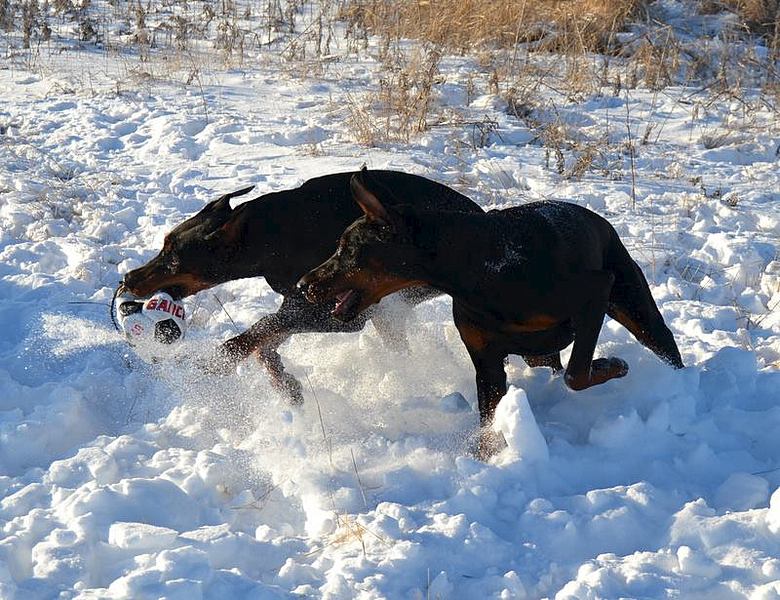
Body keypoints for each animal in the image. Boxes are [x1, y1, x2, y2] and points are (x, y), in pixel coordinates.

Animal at [120, 171, 482, 400]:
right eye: (164, 244)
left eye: (172, 258)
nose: (128, 278)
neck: (269, 235)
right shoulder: (302, 300)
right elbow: (266, 338)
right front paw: (285, 383)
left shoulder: (336, 313)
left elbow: (257, 332)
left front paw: (215, 363)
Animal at [298, 168, 684, 454]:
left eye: (348, 249)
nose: (303, 284)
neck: (479, 271)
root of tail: (599, 220)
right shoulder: (486, 362)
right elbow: (489, 419)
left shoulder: (594, 292)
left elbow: (577, 374)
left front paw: (610, 365)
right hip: (539, 352)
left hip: (633, 304)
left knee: (665, 349)